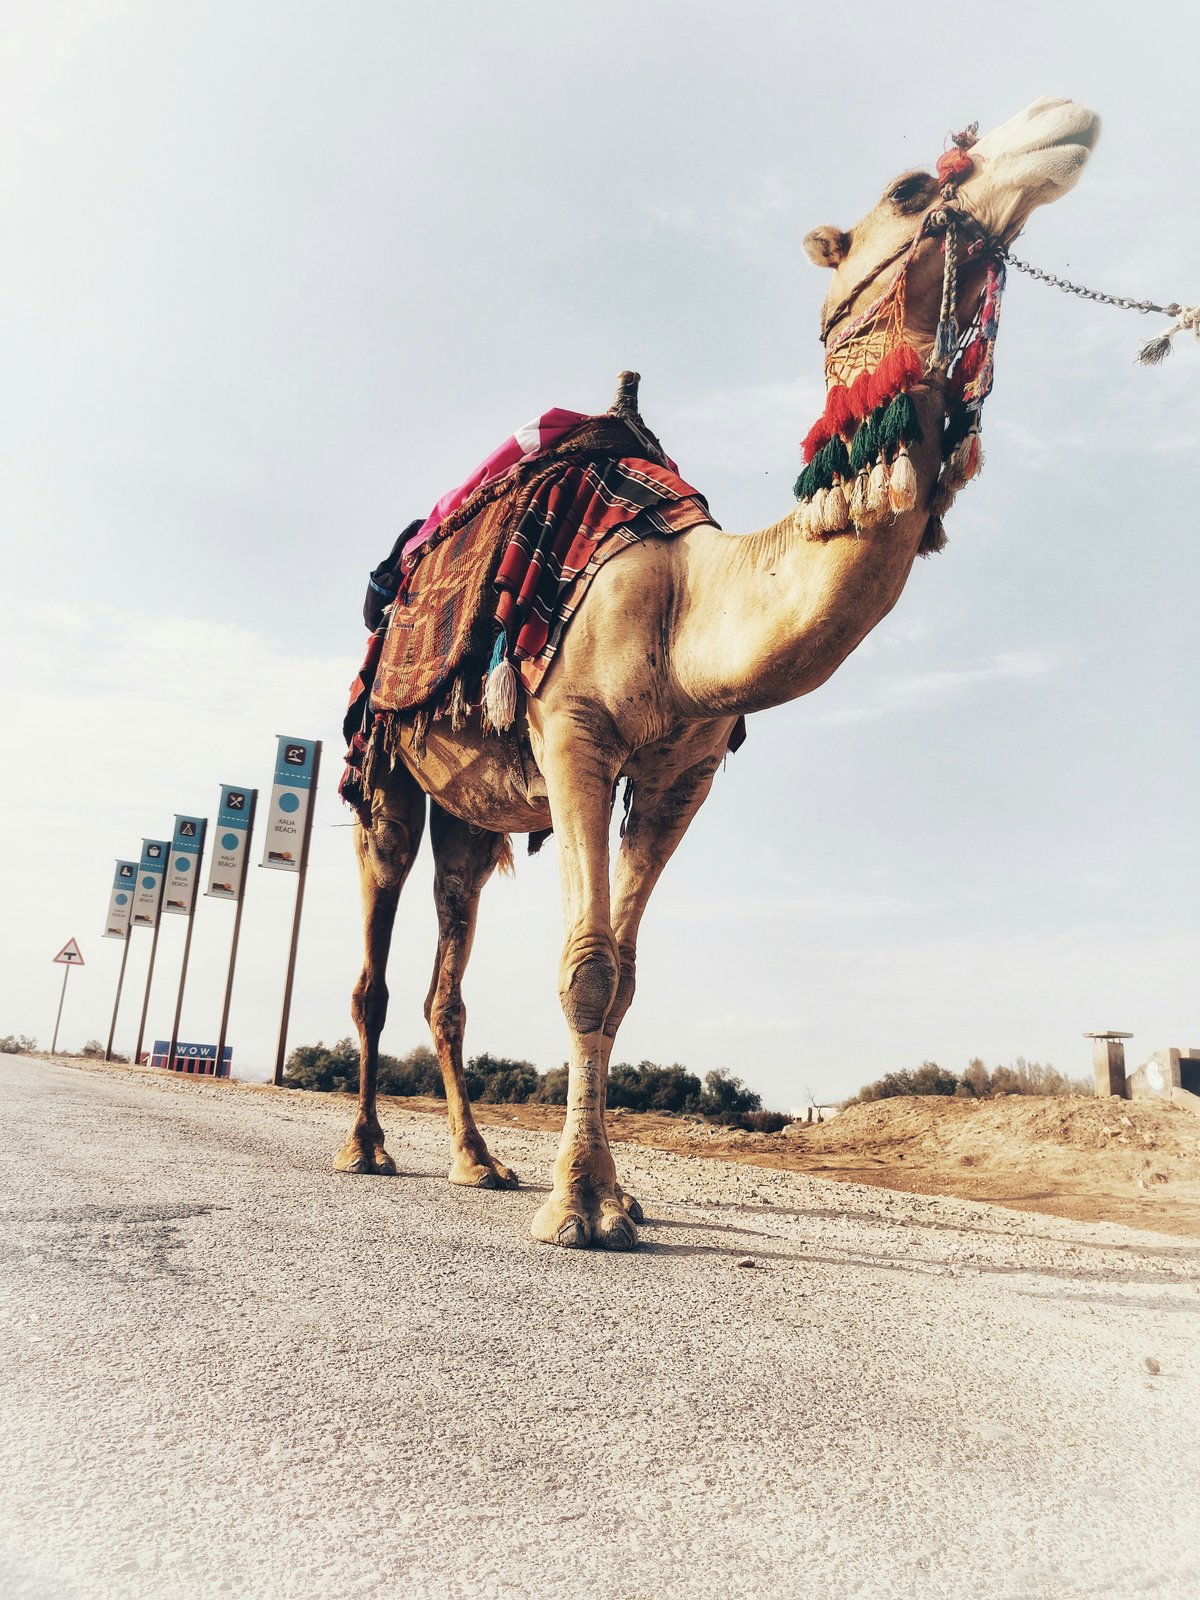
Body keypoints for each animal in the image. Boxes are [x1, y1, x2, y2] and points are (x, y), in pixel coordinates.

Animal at [334, 96, 1107, 1248]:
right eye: (910, 188)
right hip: (383, 760)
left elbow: (623, 980)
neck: (688, 598)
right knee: (377, 965)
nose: (1064, 117)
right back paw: (368, 1146)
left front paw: (613, 1195)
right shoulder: (573, 735)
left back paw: (478, 1159)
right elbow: (586, 969)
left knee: (445, 975)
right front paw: (576, 1208)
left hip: (470, 805)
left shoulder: (680, 772)